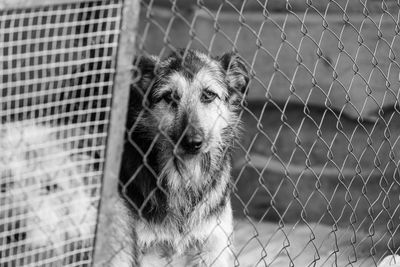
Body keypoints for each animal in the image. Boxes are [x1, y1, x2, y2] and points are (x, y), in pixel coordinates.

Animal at [108, 49, 248, 266]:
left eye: (208, 95)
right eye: (170, 97)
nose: (192, 142)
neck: (185, 177)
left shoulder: (214, 245)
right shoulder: (146, 250)